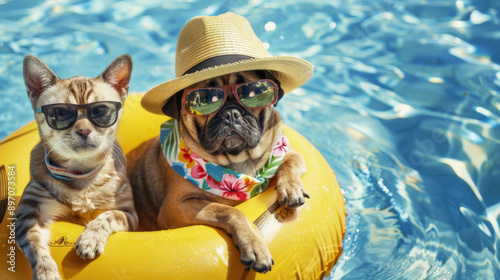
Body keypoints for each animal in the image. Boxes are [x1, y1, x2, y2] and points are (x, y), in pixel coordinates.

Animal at [14, 55, 138, 280]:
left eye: (101, 111)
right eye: (60, 113)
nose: (84, 130)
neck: (80, 174)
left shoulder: (129, 214)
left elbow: (107, 216)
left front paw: (90, 238)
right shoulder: (29, 213)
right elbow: (34, 245)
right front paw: (46, 271)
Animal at [127, 70, 308, 274]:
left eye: (251, 93)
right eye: (205, 100)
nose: (231, 113)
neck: (237, 161)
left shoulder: (289, 152)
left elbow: (290, 163)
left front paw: (291, 189)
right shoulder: (176, 206)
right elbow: (229, 211)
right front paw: (254, 245)